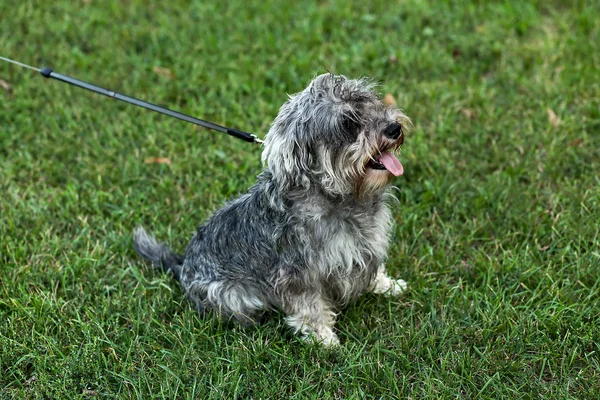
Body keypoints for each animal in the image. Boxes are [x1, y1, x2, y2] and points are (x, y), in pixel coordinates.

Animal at [134, 72, 410, 346]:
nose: (393, 128)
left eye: (370, 102)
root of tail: (182, 267)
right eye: (347, 122)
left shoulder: (366, 246)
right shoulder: (298, 276)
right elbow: (311, 309)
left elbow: (374, 270)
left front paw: (387, 285)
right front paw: (324, 340)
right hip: (231, 296)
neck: (342, 197)